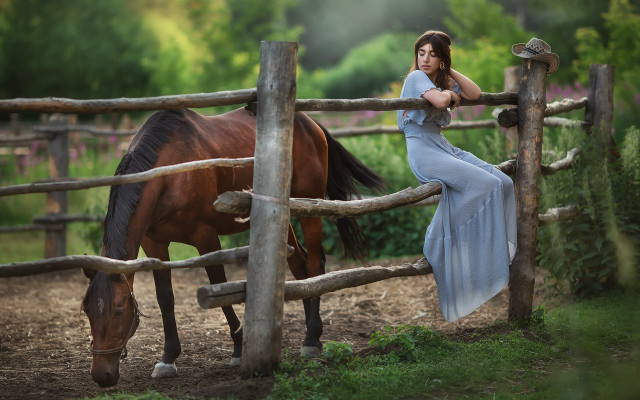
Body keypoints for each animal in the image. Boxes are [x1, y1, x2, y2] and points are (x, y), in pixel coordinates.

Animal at [80, 107, 384, 387]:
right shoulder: (154, 243)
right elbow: (165, 297)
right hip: (283, 214)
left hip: (310, 208)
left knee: (314, 265)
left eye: (118, 311)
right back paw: (312, 334)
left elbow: (219, 286)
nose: (102, 375)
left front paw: (238, 349)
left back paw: (311, 338)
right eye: (87, 310)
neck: (170, 172)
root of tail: (310, 123)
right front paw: (168, 358)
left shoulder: (205, 237)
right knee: (299, 266)